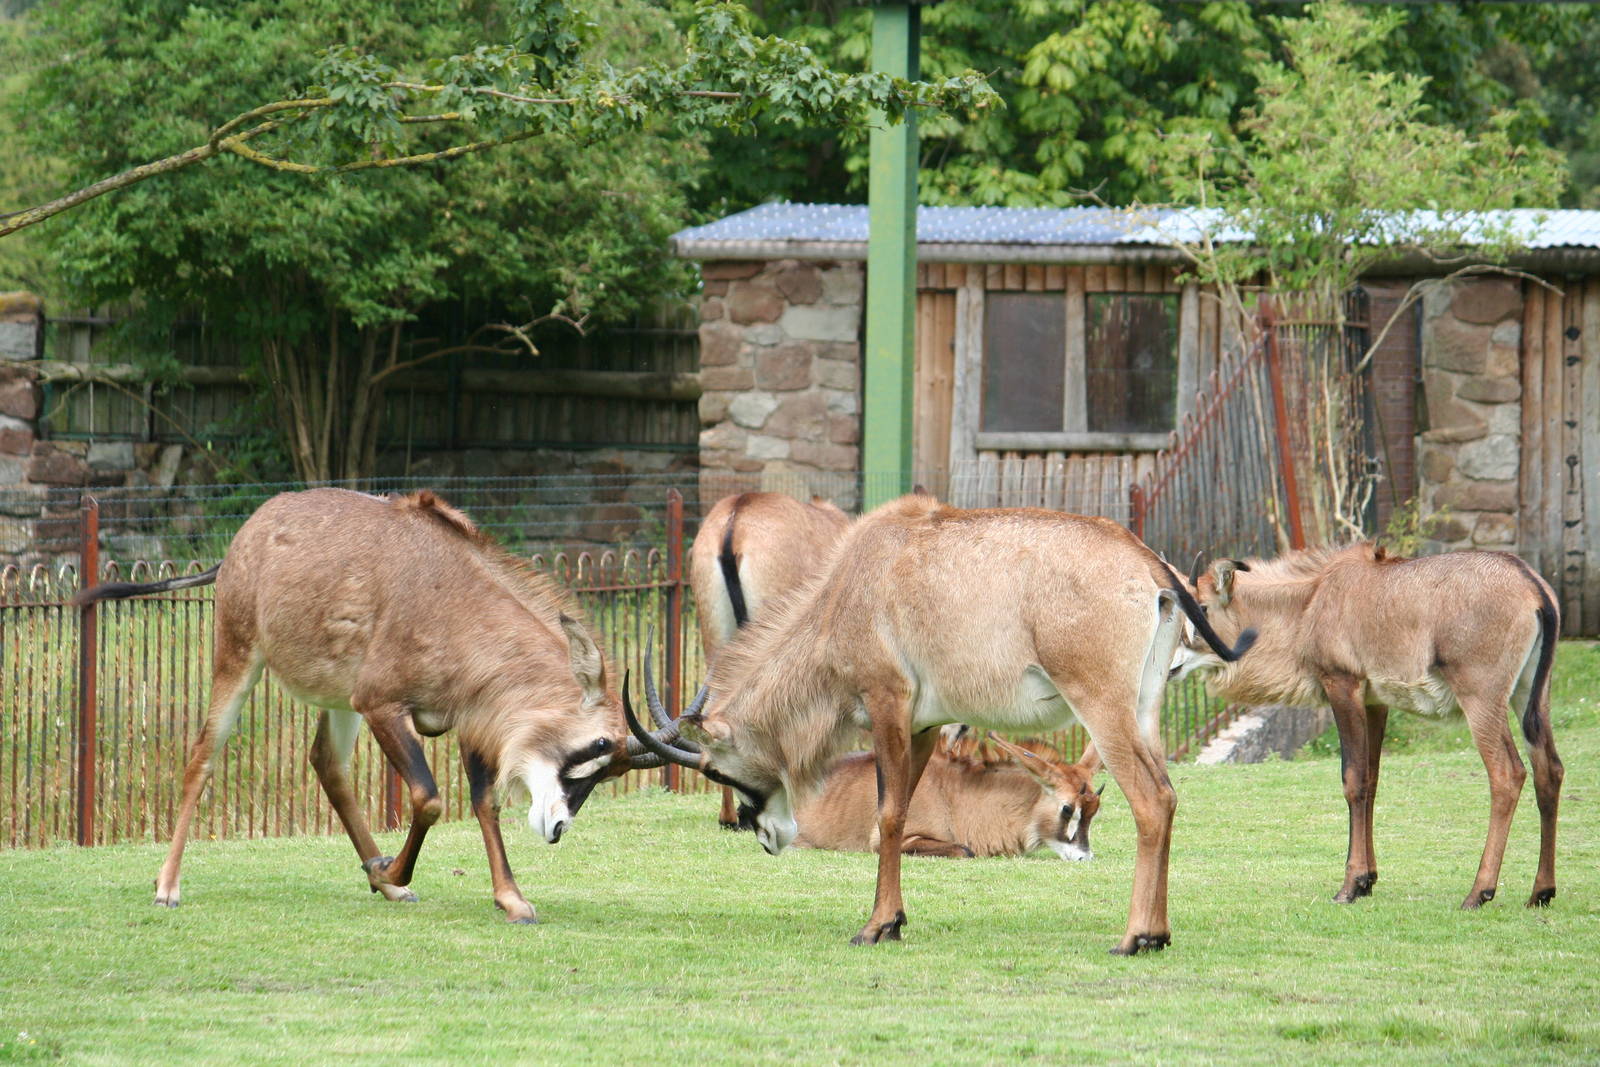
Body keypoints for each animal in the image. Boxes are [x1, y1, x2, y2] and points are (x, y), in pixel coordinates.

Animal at [74, 488, 666, 922]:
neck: (455, 599)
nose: (558, 827)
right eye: (597, 744)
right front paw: (387, 870)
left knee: (328, 765)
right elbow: (429, 799)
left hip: (340, 699)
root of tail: (252, 528)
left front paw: (510, 899)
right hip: (241, 658)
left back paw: (386, 887)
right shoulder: (383, 704)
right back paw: (168, 887)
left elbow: (484, 803)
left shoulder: (472, 718)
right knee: (202, 755)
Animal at [793, 734, 1105, 860]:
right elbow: (964, 850)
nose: (1084, 857)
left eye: (1094, 810)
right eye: (1067, 808)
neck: (955, 794)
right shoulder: (888, 840)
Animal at [1174, 544, 1562, 910]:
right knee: (1550, 769)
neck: (1310, 601)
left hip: (1481, 698)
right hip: (1531, 696)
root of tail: (1532, 586)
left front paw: (1351, 885)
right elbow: (1372, 780)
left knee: (1507, 774)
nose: (1173, 664)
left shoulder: (1343, 685)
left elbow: (1354, 780)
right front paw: (1369, 881)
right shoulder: (1376, 701)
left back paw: (1479, 893)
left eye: (1202, 608)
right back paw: (1541, 892)